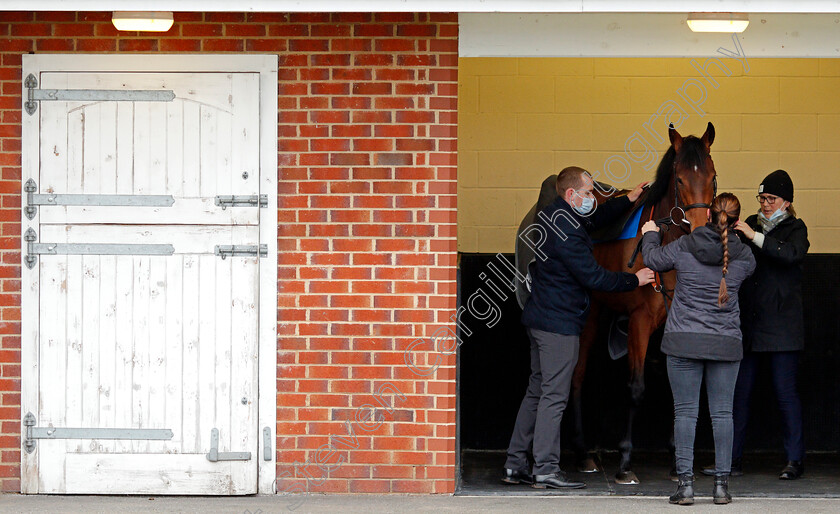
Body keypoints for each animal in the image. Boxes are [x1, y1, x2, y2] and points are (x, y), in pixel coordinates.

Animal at [576, 122, 720, 482]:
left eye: (712, 177)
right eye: (679, 179)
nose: (700, 228)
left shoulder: (673, 326)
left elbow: (675, 386)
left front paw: (675, 458)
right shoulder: (640, 322)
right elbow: (637, 387)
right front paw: (625, 460)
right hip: (590, 314)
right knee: (578, 374)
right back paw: (584, 452)